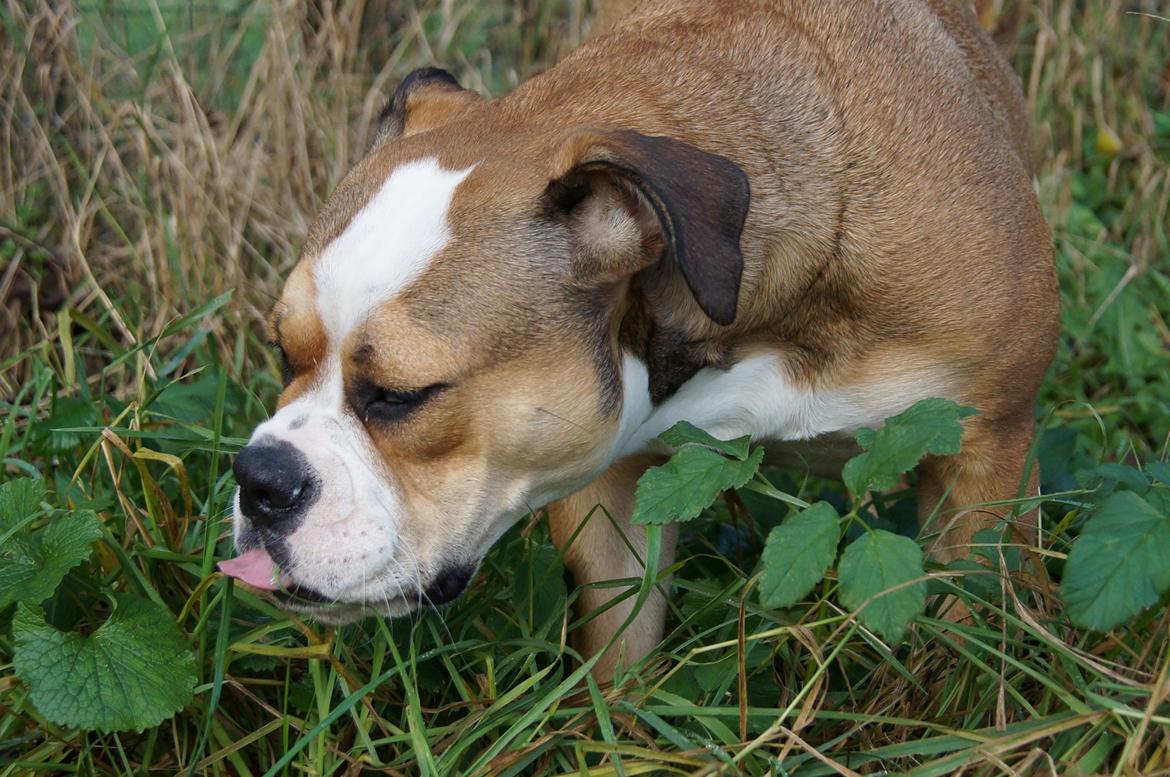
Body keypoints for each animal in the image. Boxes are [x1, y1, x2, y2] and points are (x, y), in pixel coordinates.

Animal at [217, 0, 1062, 678]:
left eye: (402, 396)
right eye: (282, 351)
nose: (260, 478)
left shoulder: (984, 461)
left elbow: (972, 638)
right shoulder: (610, 497)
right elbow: (620, 654)